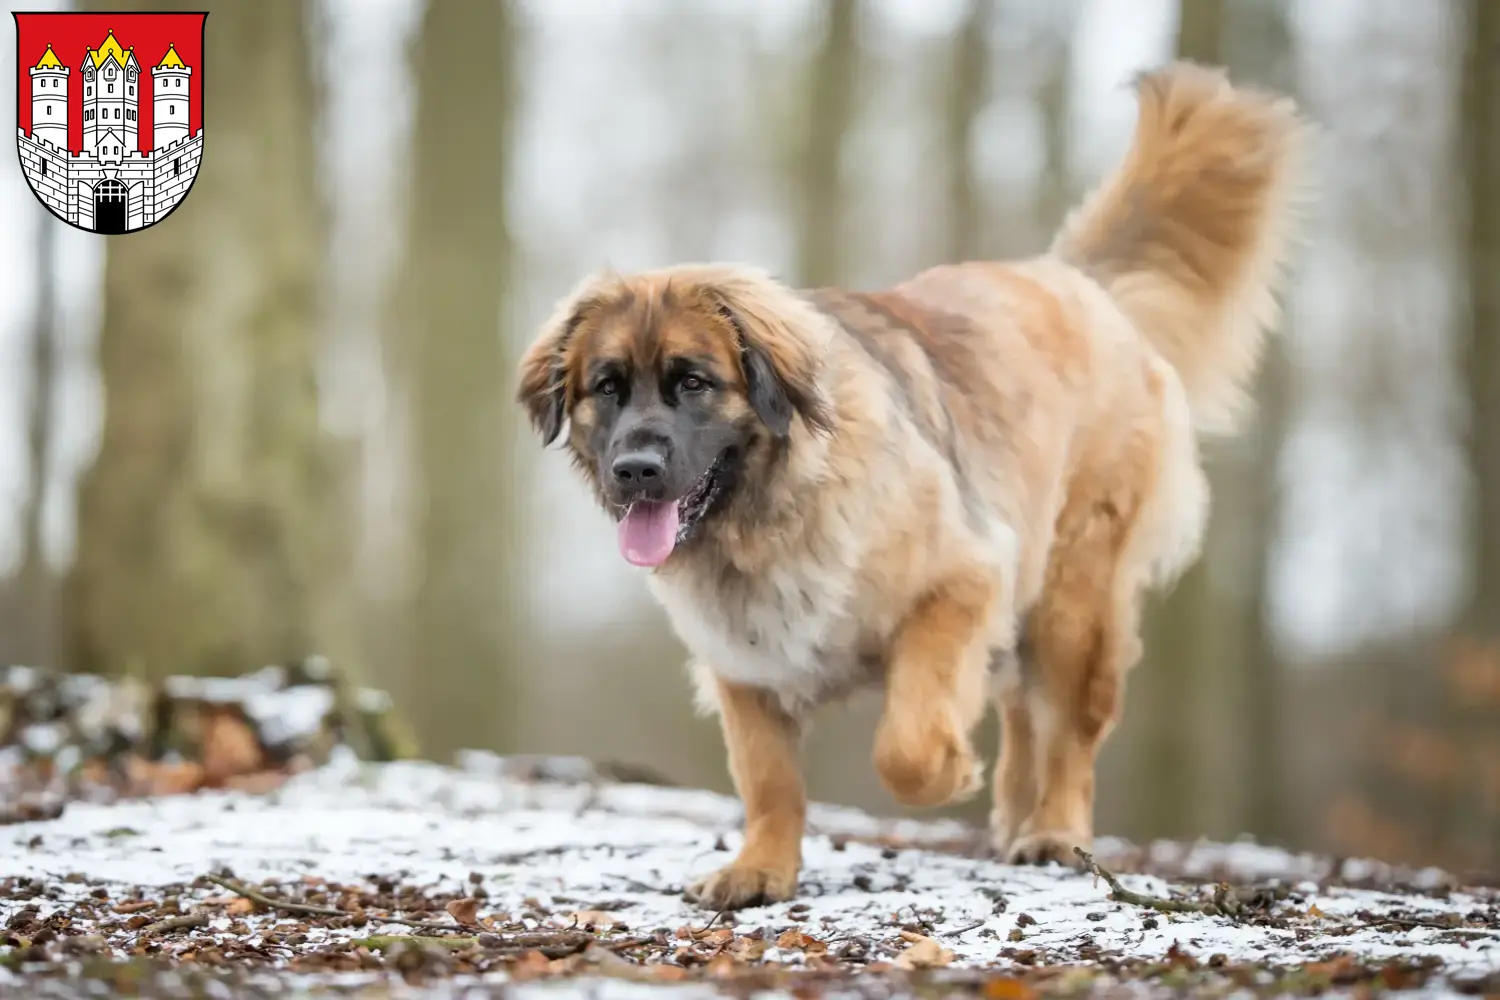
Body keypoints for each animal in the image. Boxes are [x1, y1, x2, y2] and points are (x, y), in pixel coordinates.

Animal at [519, 58, 1314, 911]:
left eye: (693, 382)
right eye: (608, 387)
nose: (634, 469)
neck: (770, 516)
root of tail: (1071, 279)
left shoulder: (958, 584)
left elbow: (905, 745)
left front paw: (948, 768)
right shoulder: (742, 661)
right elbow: (768, 778)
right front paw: (760, 867)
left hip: (1075, 596)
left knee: (1068, 729)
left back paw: (1054, 831)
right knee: (1025, 711)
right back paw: (1016, 819)